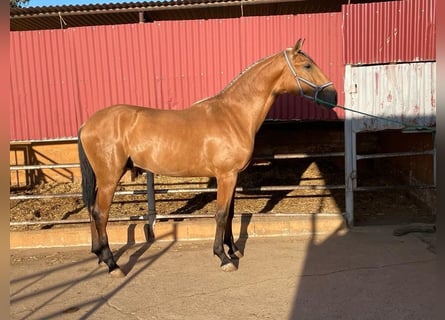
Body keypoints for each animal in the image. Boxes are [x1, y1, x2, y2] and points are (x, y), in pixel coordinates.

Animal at [77, 38, 336, 276]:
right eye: (307, 66)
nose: (333, 96)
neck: (233, 114)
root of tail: (87, 124)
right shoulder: (226, 176)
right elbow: (221, 215)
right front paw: (223, 258)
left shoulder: (232, 177)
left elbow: (230, 214)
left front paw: (233, 250)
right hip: (110, 178)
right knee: (100, 213)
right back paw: (112, 264)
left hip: (103, 179)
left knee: (92, 209)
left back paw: (99, 256)